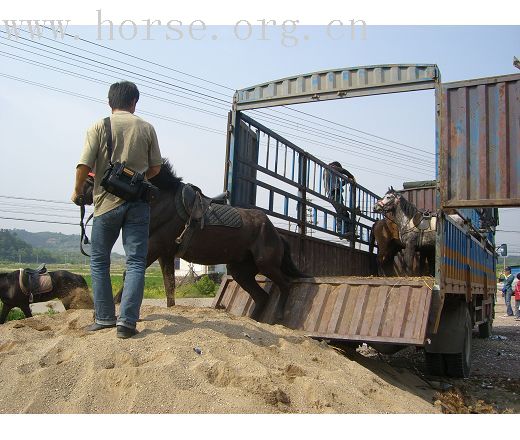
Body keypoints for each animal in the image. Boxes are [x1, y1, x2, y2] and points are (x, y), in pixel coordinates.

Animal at [85, 160, 304, 318]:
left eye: (95, 171)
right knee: (262, 297)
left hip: (266, 264)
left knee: (285, 285)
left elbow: (128, 275)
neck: (160, 200)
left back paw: (278, 315)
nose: (81, 195)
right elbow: (170, 286)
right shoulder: (165, 254)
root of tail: (276, 233)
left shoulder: (153, 248)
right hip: (241, 271)